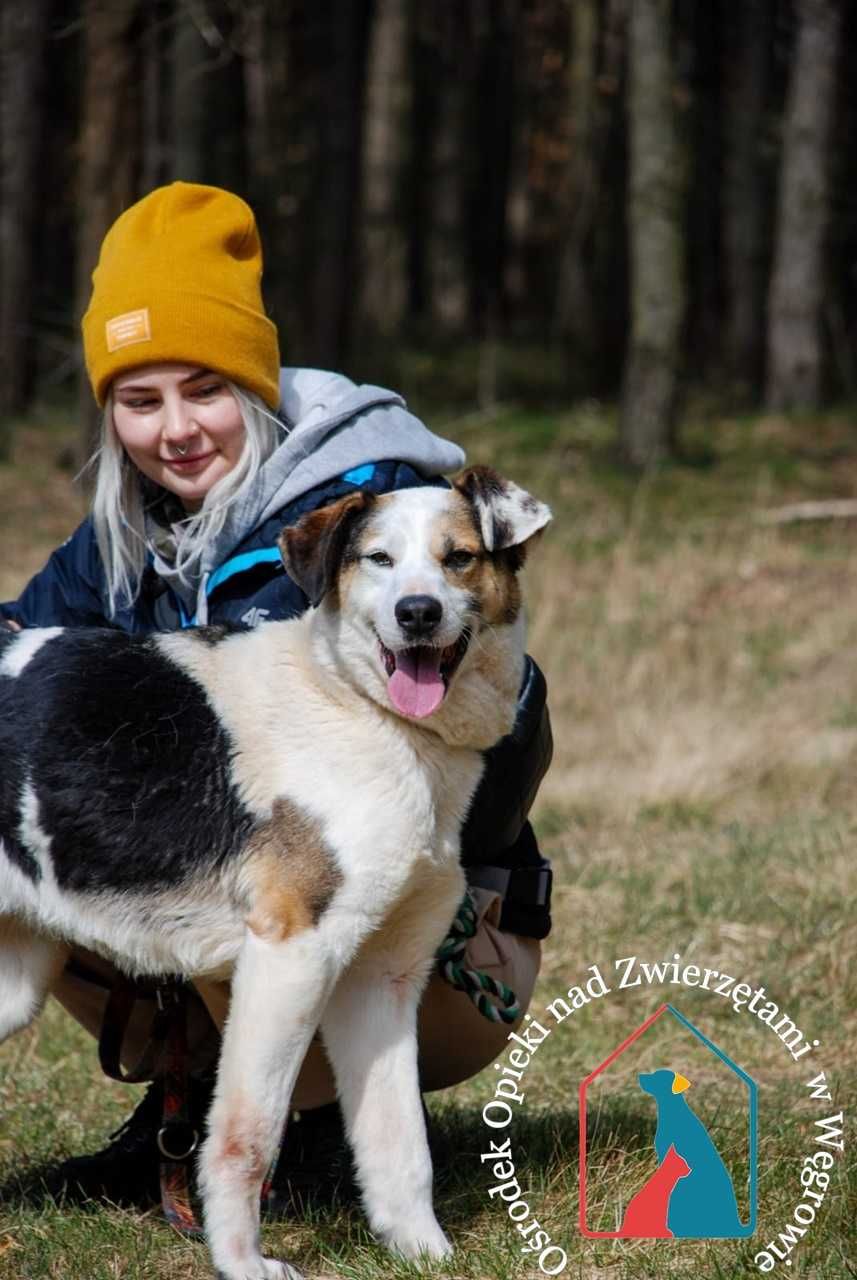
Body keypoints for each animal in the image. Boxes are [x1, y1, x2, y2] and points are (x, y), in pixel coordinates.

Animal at [0, 465, 550, 1280]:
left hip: (16, 981)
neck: (365, 710)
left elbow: (398, 1146)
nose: (416, 614)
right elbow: (245, 1139)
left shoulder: (381, 982)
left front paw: (423, 1252)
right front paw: (240, 1263)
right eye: (378, 560)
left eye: (459, 559)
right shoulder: (291, 960)